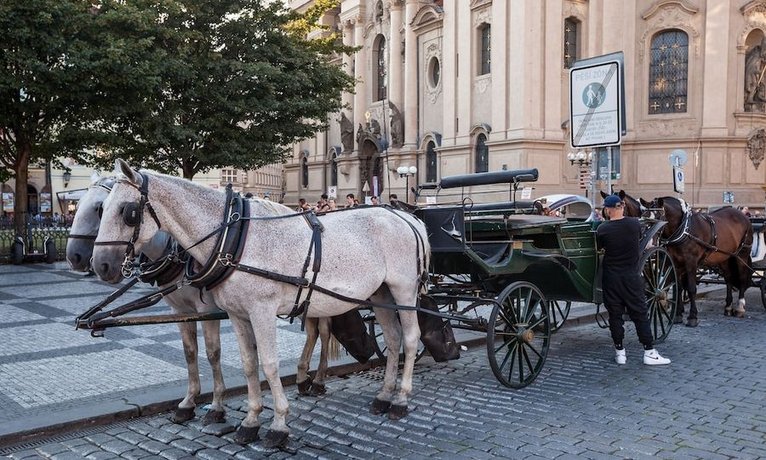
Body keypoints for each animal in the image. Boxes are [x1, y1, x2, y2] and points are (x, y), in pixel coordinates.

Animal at [92, 159, 428, 450]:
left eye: (127, 211)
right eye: (101, 209)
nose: (100, 265)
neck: (233, 238)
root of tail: (407, 217)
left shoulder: (262, 311)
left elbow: (269, 364)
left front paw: (278, 425)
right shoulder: (237, 314)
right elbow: (249, 364)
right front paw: (251, 421)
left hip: (404, 291)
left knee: (411, 339)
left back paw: (400, 400)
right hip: (380, 294)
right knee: (393, 339)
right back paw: (384, 396)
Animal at [640, 196, 756, 326]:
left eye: (659, 217)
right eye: (644, 217)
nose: (648, 244)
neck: (685, 228)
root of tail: (743, 215)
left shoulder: (691, 262)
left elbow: (691, 288)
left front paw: (692, 317)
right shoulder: (676, 263)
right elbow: (678, 288)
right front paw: (678, 315)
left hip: (742, 254)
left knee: (742, 277)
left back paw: (740, 307)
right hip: (724, 257)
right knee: (729, 278)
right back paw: (728, 307)